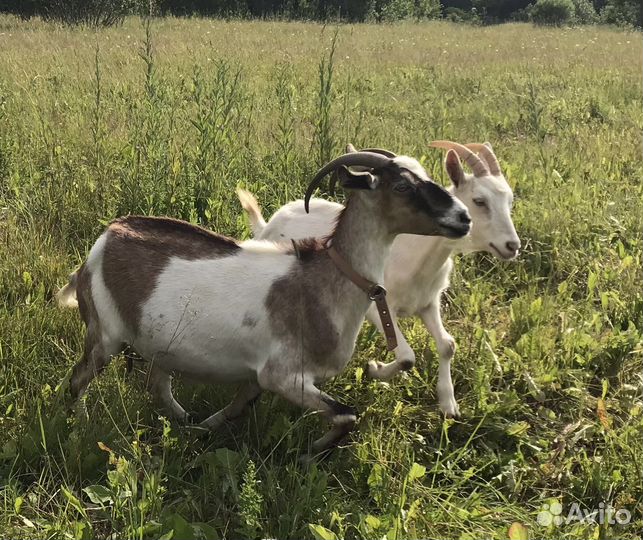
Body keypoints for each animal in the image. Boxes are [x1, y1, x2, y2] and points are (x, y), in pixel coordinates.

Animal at [57, 151, 471, 455]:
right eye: (402, 186)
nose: (463, 217)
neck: (325, 281)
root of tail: (104, 241)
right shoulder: (283, 375)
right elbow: (346, 416)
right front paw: (309, 452)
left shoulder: (258, 377)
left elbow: (238, 407)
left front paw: (204, 428)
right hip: (104, 334)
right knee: (77, 381)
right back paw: (77, 428)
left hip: (161, 345)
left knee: (157, 384)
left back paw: (182, 419)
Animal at [237, 141, 519, 418]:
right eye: (479, 200)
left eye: (510, 201)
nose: (512, 245)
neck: (414, 254)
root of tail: (269, 224)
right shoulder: (379, 306)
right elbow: (406, 356)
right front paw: (376, 369)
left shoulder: (428, 303)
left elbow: (447, 345)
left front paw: (448, 404)